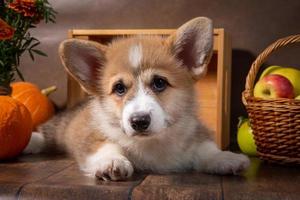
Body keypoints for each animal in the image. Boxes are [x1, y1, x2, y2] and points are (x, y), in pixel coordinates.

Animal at [24, 16, 248, 180]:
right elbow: (105, 146)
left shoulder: (196, 133)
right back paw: (29, 142)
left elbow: (206, 148)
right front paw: (112, 161)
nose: (139, 121)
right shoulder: (91, 135)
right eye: (119, 88)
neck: (151, 142)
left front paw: (226, 158)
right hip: (60, 127)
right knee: (47, 134)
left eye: (159, 83)